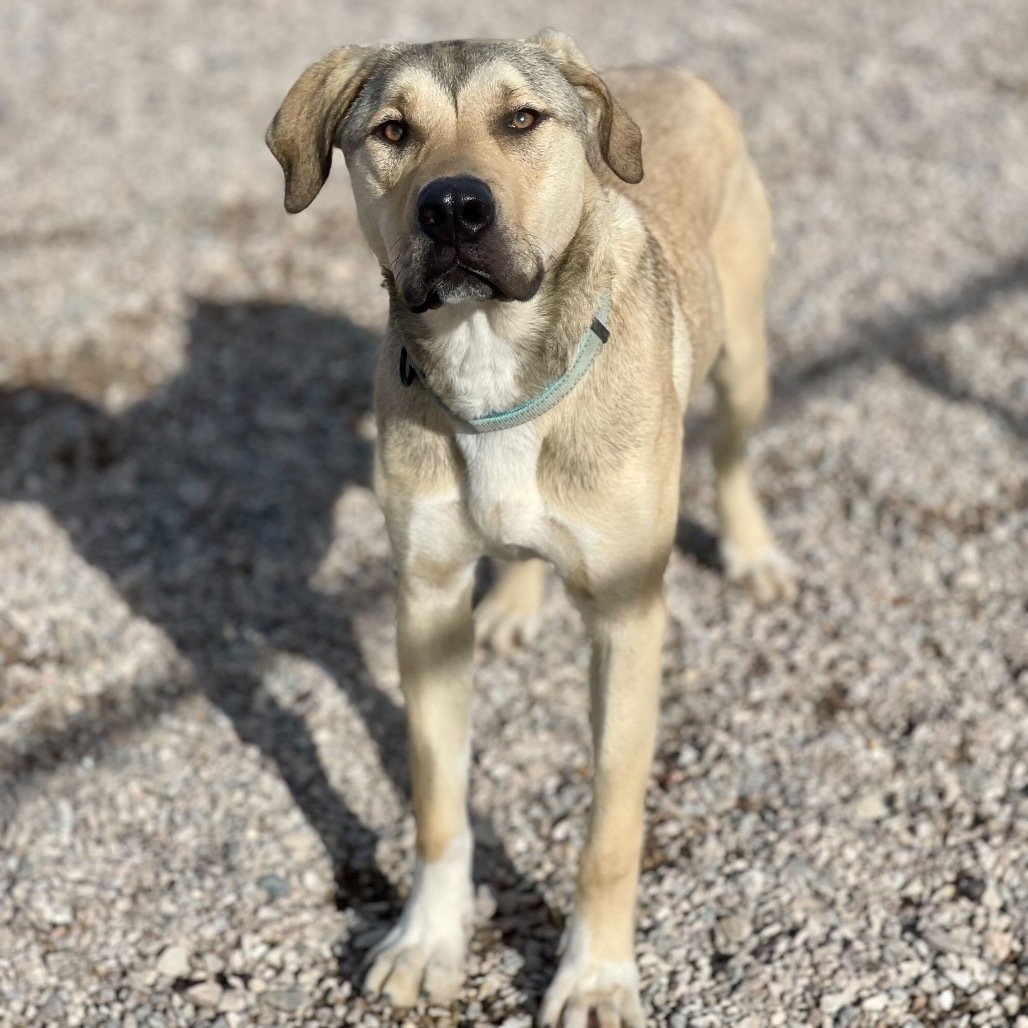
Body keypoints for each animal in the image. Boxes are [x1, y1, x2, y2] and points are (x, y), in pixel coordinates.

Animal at [267, 28, 793, 1023]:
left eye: (522, 120)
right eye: (392, 131)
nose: (453, 209)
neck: (490, 362)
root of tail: (672, 72)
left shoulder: (628, 618)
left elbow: (611, 833)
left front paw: (594, 976)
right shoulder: (426, 602)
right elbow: (438, 803)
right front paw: (429, 940)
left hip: (745, 360)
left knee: (734, 456)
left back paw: (753, 553)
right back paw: (514, 601)